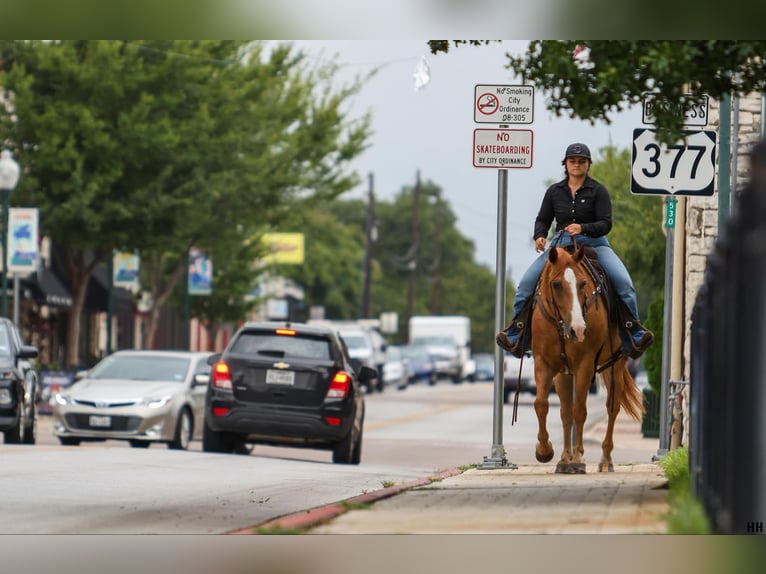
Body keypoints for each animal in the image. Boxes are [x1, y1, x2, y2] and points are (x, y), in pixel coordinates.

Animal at [536, 245, 648, 474]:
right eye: (556, 284)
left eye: (582, 284)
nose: (578, 330)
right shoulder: (545, 364)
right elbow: (545, 405)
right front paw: (548, 452)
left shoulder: (585, 365)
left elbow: (580, 410)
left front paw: (578, 459)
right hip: (566, 374)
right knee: (566, 412)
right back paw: (565, 458)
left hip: (615, 367)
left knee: (612, 408)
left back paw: (605, 460)